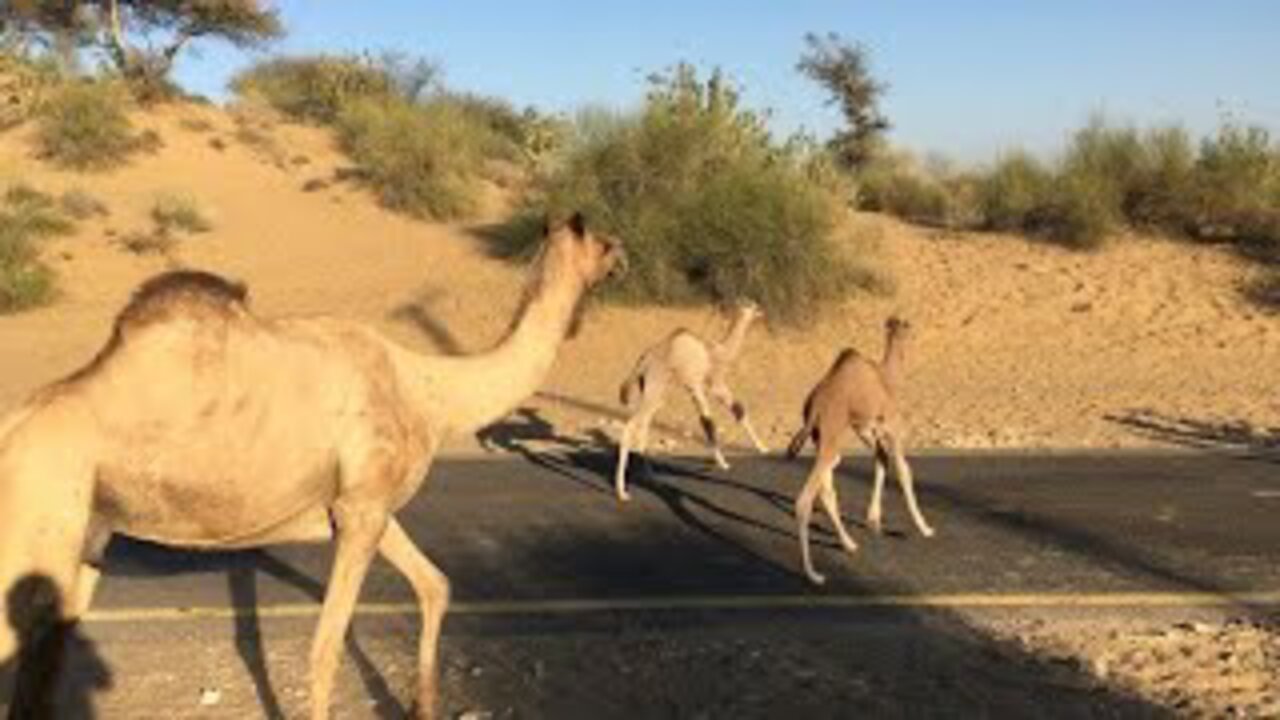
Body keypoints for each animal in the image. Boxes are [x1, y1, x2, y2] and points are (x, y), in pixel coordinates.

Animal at [0, 212, 624, 717]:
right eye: (600, 237)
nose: (624, 254)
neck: (429, 392)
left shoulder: (364, 508)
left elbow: (435, 585)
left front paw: (423, 707)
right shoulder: (363, 509)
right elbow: (324, 649)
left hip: (85, 537)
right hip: (31, 521)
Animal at [611, 299, 762, 502]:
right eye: (753, 307)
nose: (762, 312)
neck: (718, 353)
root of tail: (641, 363)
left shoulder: (698, 386)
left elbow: (723, 415)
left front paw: (759, 449)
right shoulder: (707, 384)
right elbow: (716, 419)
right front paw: (727, 462)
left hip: (651, 392)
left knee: (643, 426)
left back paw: (651, 477)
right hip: (655, 389)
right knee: (631, 426)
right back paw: (622, 492)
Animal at [778, 316, 931, 586]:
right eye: (908, 327)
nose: (915, 333)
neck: (887, 377)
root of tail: (814, 406)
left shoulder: (866, 427)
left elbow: (881, 460)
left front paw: (874, 521)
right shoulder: (891, 424)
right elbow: (904, 471)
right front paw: (925, 528)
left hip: (822, 438)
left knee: (827, 488)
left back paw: (849, 544)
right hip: (832, 435)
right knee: (806, 499)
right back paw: (814, 574)